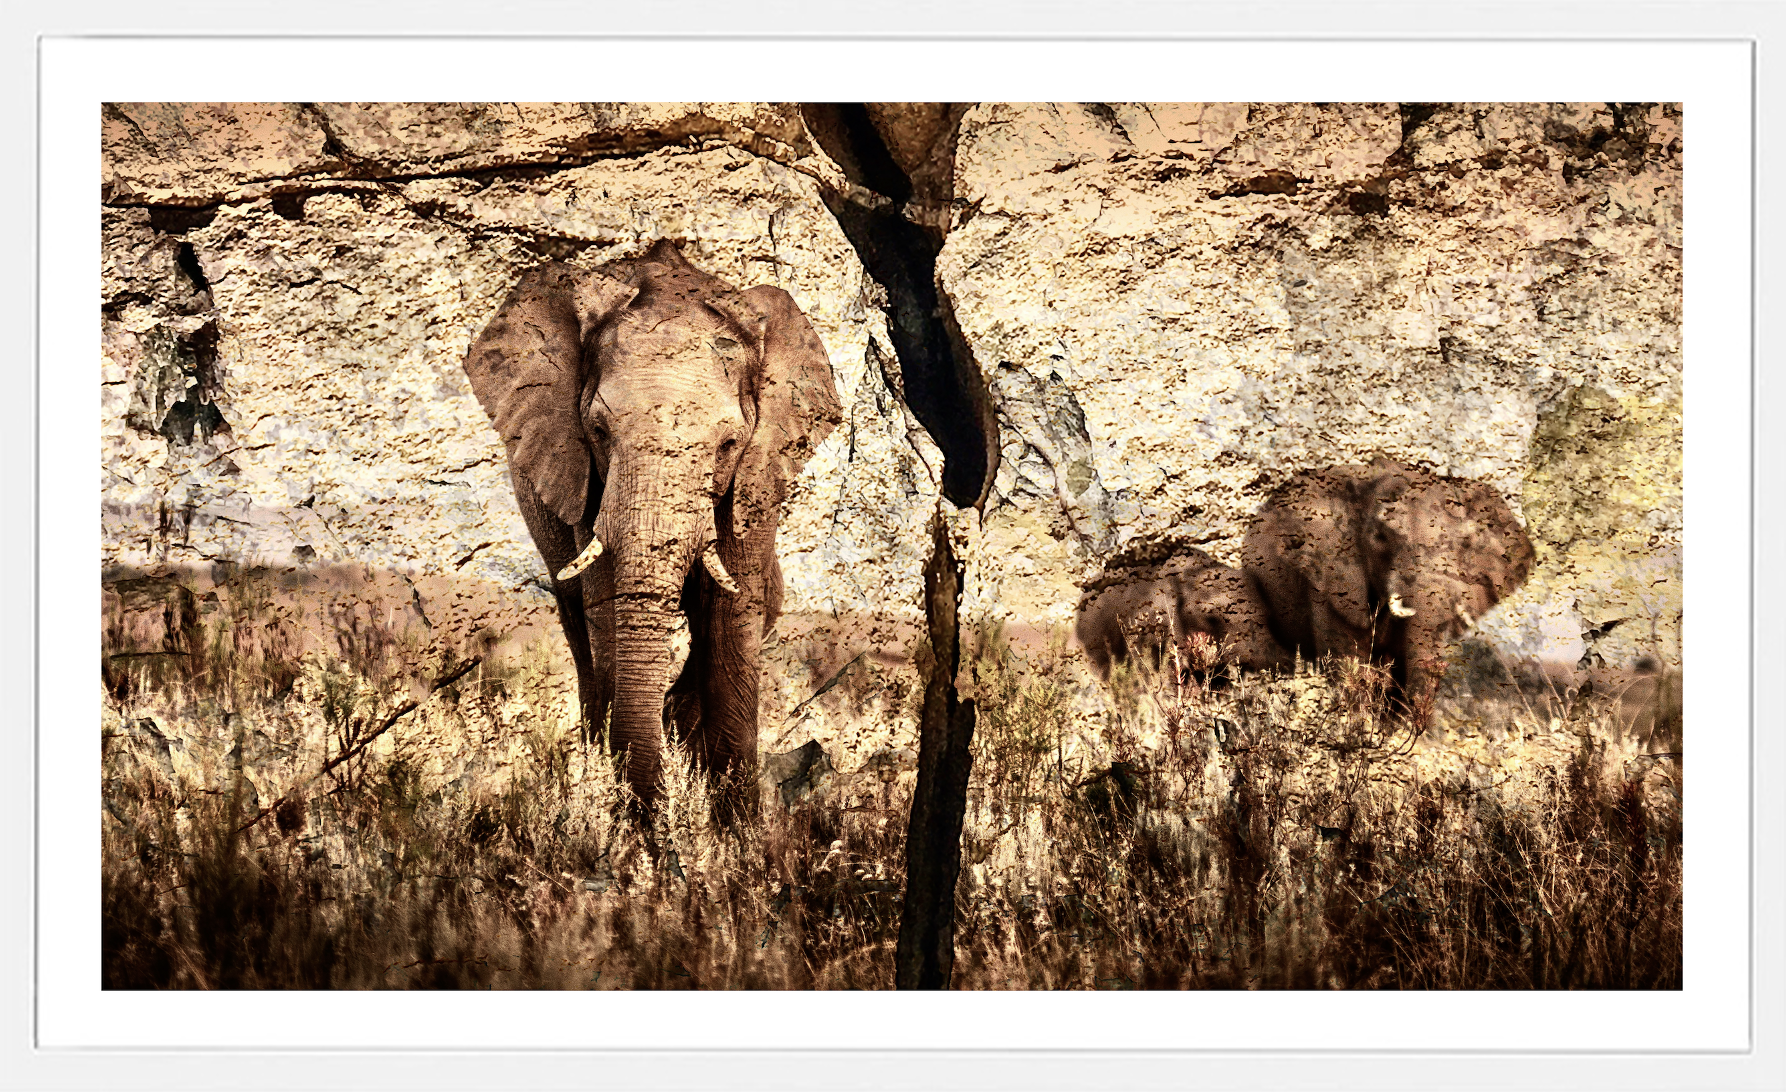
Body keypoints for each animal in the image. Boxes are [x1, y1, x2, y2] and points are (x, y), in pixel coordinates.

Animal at [463, 240, 841, 810]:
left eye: (729, 444)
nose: (649, 810)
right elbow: (606, 606)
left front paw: (739, 828)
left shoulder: (759, 471)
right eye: (598, 430)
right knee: (577, 625)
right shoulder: (583, 481)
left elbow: (733, 613)